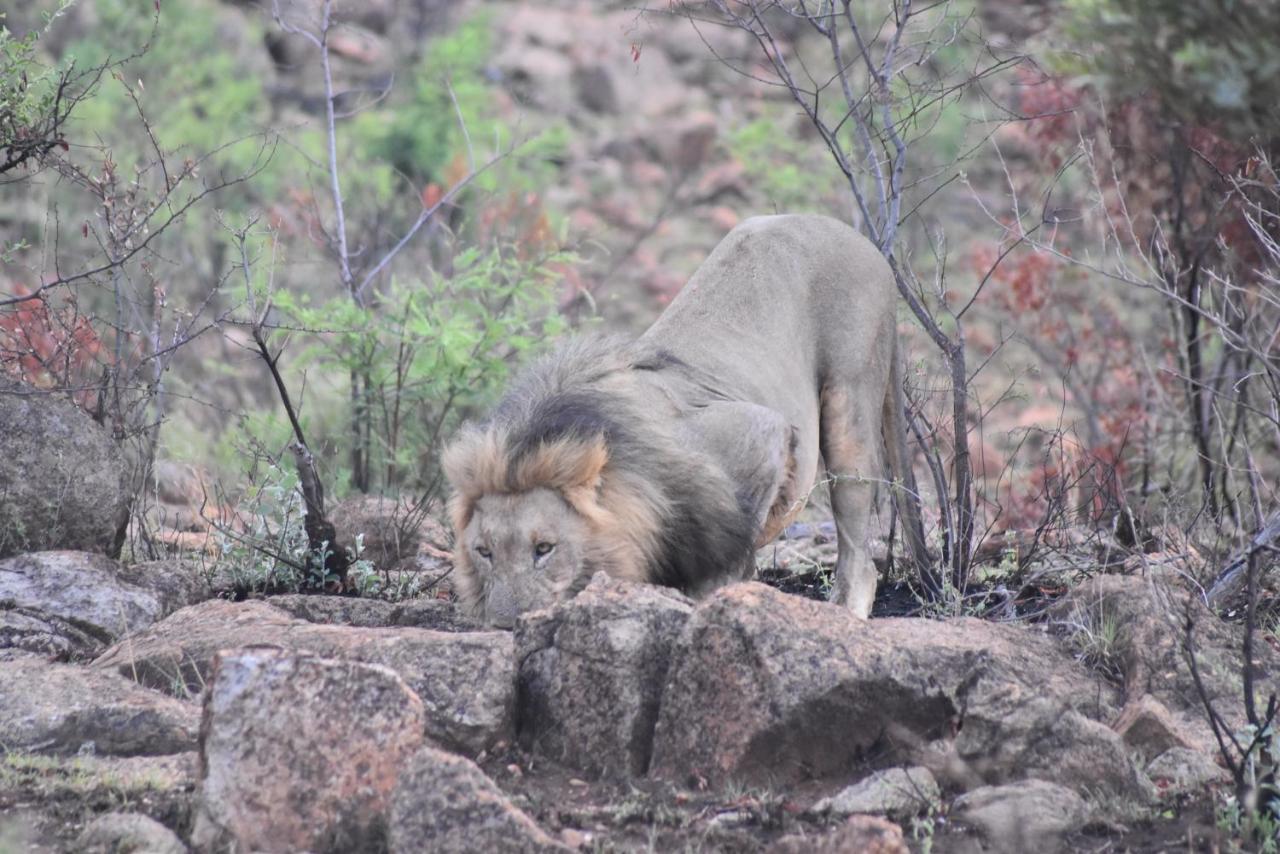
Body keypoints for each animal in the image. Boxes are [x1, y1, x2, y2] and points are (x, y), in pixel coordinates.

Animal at [445, 213, 926, 627]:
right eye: (484, 551)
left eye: (543, 548)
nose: (506, 625)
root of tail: (866, 244)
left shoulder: (758, 432)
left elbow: (727, 562)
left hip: (850, 402)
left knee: (860, 557)